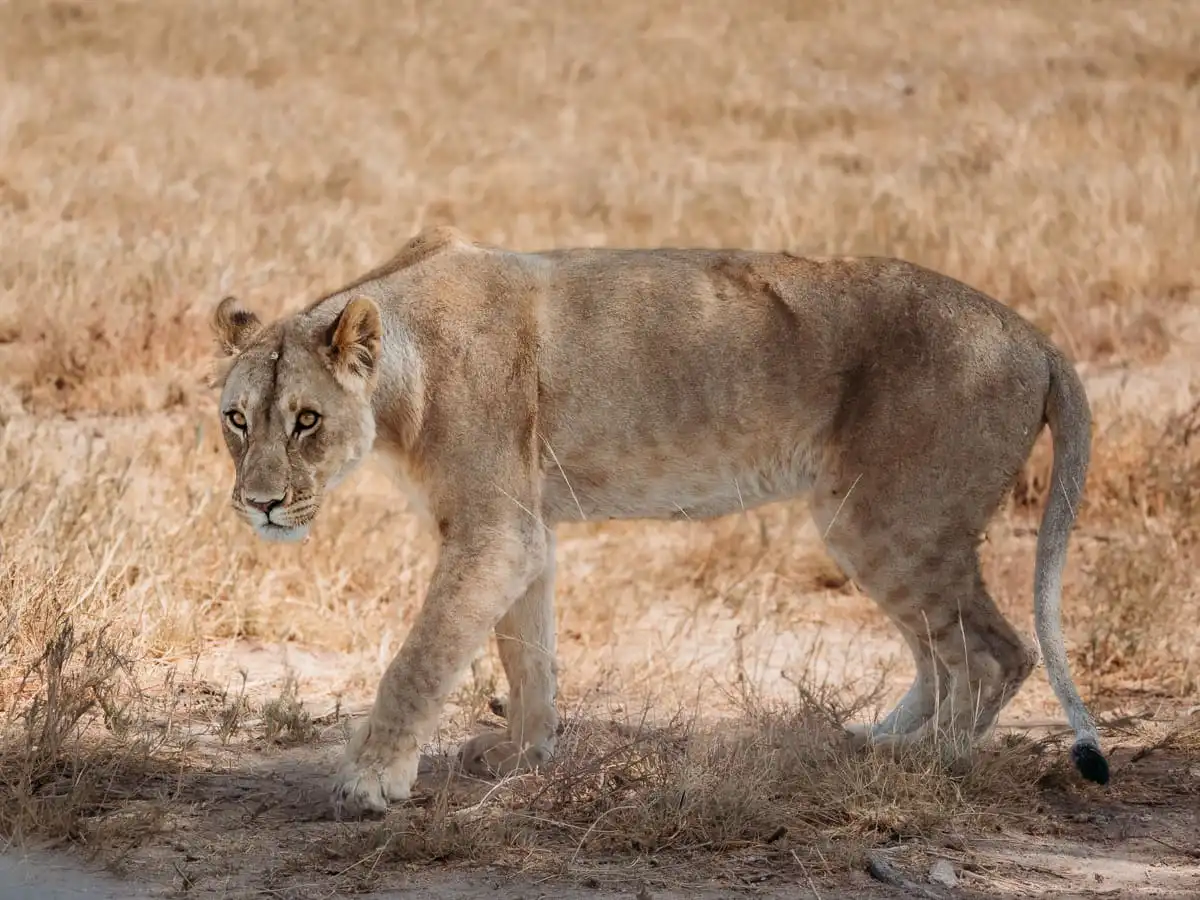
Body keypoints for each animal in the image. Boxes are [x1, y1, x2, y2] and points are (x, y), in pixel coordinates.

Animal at [209, 225, 1109, 818]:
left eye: (306, 421)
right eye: (237, 420)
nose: (259, 504)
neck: (403, 375)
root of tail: (1037, 339)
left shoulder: (495, 530)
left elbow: (423, 657)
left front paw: (369, 780)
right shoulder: (524, 531)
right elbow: (525, 651)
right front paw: (522, 752)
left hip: (893, 517)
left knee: (996, 652)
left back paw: (930, 766)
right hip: (869, 521)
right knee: (941, 652)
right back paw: (879, 742)